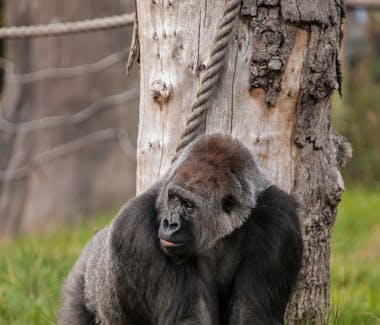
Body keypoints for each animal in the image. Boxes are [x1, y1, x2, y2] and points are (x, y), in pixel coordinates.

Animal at [59, 134, 302, 324]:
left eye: (189, 205)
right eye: (174, 198)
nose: (170, 223)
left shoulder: (279, 221)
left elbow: (252, 313)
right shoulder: (135, 226)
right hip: (81, 284)